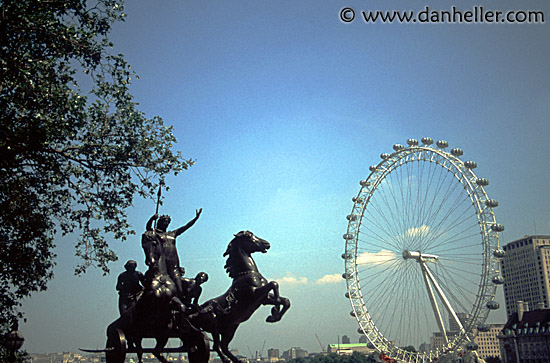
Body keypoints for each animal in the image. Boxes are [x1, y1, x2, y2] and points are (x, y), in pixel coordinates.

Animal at [190, 232, 292, 363]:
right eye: (249, 236)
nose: (267, 244)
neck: (246, 274)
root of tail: (197, 310)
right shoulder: (254, 294)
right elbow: (274, 284)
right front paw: (274, 312)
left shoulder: (263, 299)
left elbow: (285, 300)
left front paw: (274, 315)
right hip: (214, 326)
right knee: (217, 346)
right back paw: (227, 360)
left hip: (230, 329)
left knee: (224, 346)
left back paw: (238, 360)